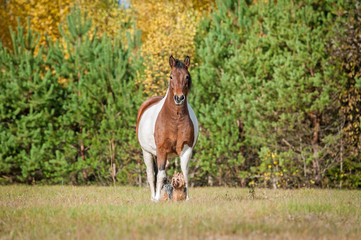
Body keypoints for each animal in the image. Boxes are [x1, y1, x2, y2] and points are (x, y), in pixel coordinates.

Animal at [136, 55, 198, 202]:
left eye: (187, 76)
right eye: (171, 76)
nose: (179, 98)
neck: (175, 119)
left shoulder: (186, 149)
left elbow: (184, 174)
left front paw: (186, 198)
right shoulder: (161, 150)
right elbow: (160, 176)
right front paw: (158, 198)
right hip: (147, 152)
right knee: (151, 175)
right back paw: (154, 197)